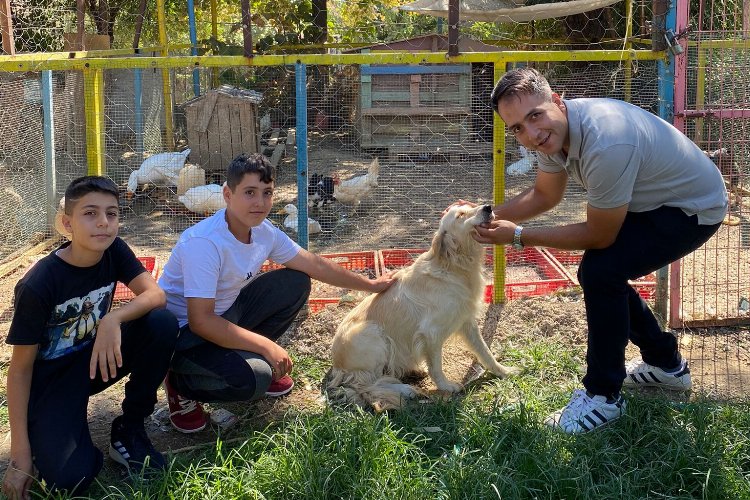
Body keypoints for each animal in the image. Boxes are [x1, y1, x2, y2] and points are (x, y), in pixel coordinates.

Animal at [326, 203, 520, 410]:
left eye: (471, 206)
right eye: (460, 215)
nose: (488, 207)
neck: (454, 266)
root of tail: (337, 366)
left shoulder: (467, 322)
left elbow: (485, 353)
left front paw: (504, 371)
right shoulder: (431, 333)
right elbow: (437, 367)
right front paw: (446, 386)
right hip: (373, 335)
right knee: (366, 386)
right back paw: (406, 390)